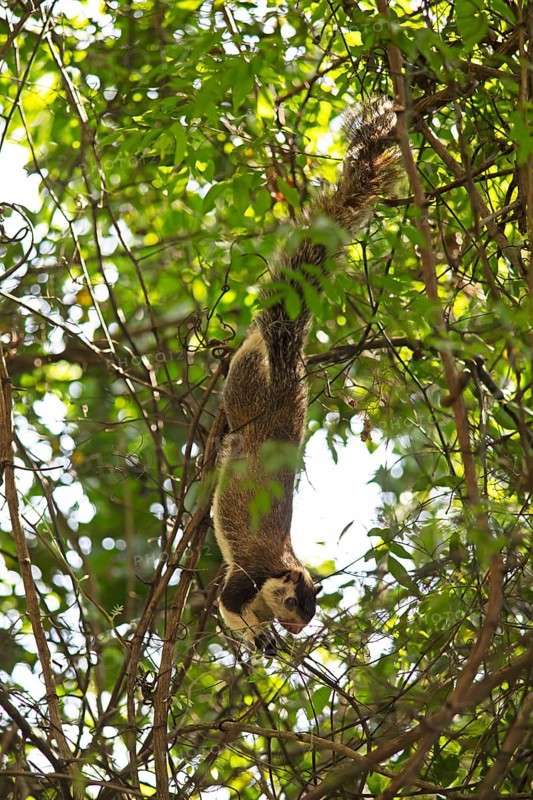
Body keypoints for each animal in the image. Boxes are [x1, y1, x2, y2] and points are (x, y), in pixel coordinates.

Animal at [212, 97, 400, 655]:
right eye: (295, 600)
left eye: (314, 609)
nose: (298, 627)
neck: (280, 569)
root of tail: (287, 360)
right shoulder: (244, 578)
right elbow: (228, 607)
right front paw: (261, 639)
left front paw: (271, 639)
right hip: (247, 387)